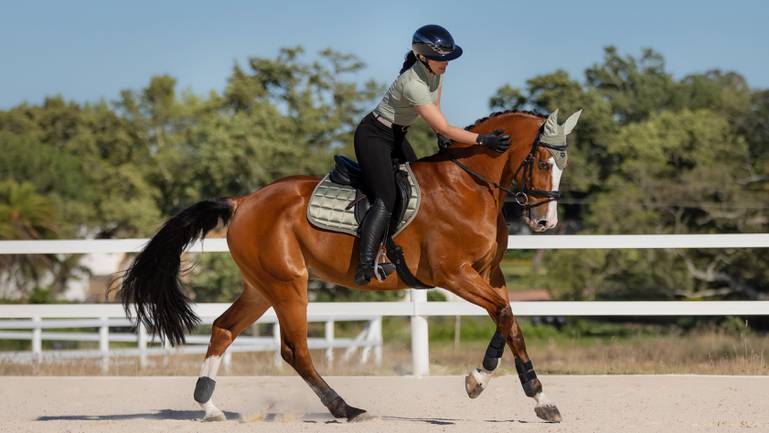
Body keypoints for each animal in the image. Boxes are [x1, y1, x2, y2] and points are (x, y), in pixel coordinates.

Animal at [117, 107, 580, 422]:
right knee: (295, 350)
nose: (545, 222)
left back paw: (209, 405)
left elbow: (508, 319)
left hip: (261, 288)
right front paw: (531, 395)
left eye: (563, 164)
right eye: (543, 162)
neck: (468, 186)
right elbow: (505, 315)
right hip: (289, 285)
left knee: (223, 328)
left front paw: (491, 384)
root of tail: (243, 201)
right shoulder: (454, 275)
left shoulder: (488, 274)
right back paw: (345, 408)